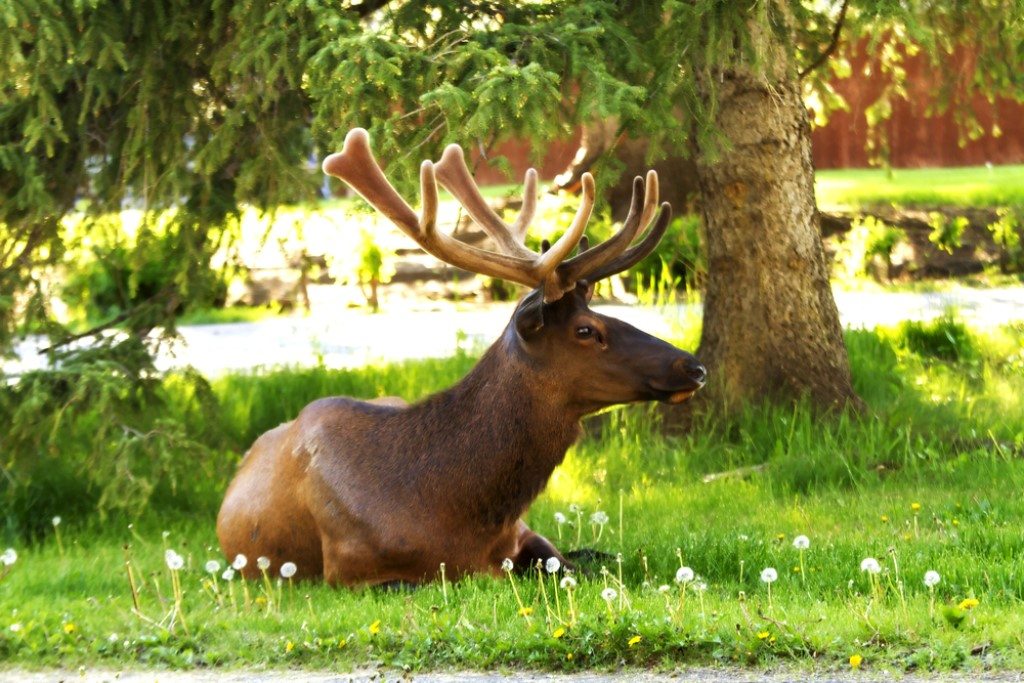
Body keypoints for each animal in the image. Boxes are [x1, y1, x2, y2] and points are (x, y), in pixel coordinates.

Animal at [216, 129, 704, 589]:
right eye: (586, 330)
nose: (693, 366)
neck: (456, 515)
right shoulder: (351, 571)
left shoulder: (524, 533)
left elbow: (572, 566)